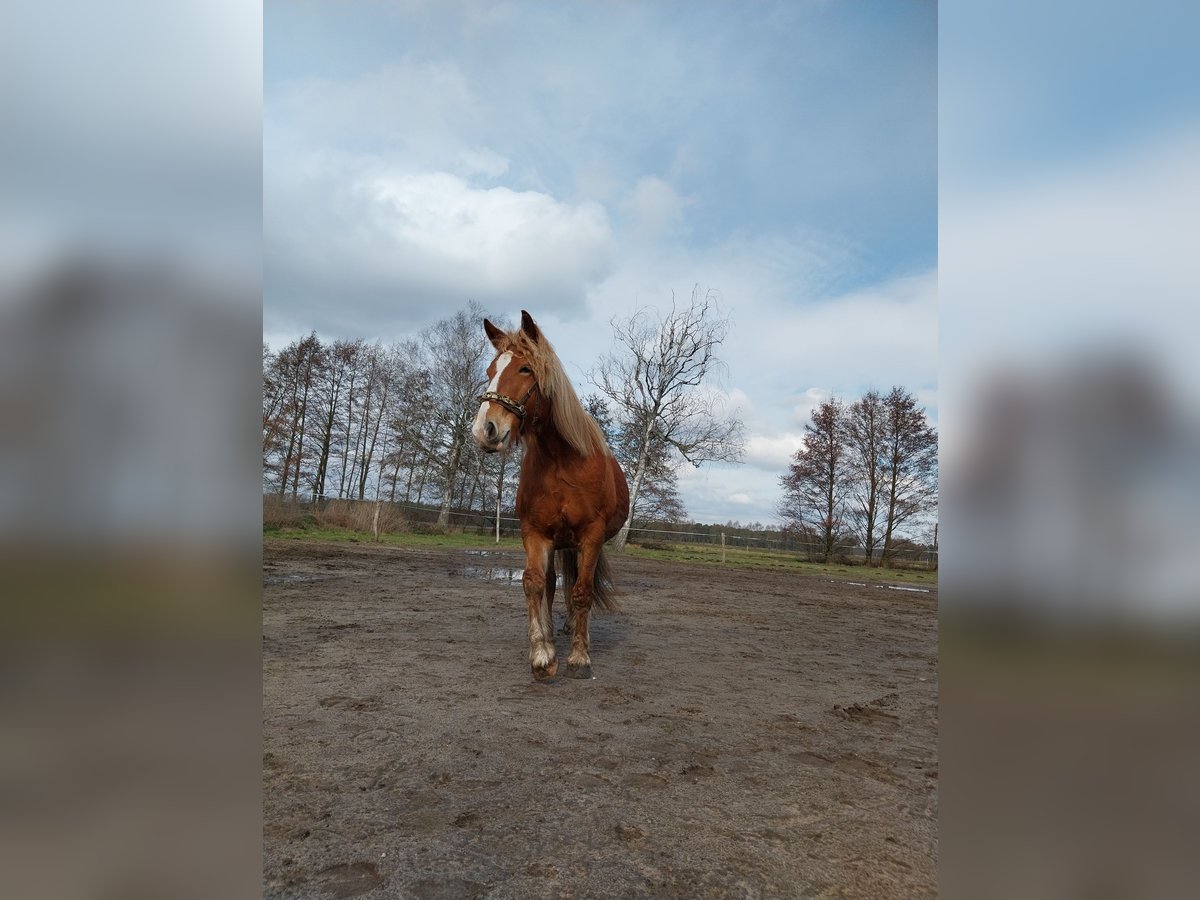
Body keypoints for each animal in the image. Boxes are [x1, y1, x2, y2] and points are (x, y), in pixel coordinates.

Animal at [472, 314, 633, 681]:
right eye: (490, 370)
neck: (562, 462)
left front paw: (579, 657)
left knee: (578, 586)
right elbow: (534, 585)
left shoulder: (591, 536)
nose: (485, 429)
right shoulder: (535, 533)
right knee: (550, 584)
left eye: (525, 369)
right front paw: (542, 654)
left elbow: (583, 592)